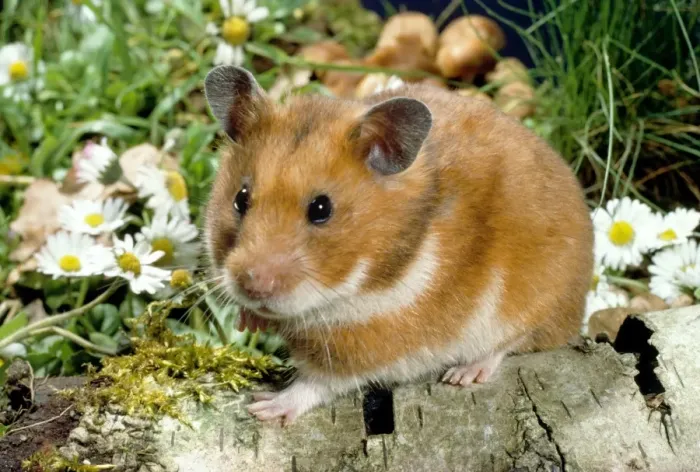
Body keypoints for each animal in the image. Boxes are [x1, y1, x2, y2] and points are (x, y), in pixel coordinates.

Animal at [203, 65, 594, 425]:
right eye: (240, 198)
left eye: (321, 209)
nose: (253, 286)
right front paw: (249, 321)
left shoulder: (369, 346)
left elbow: (318, 383)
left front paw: (263, 408)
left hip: (533, 302)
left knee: (514, 342)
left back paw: (464, 375)